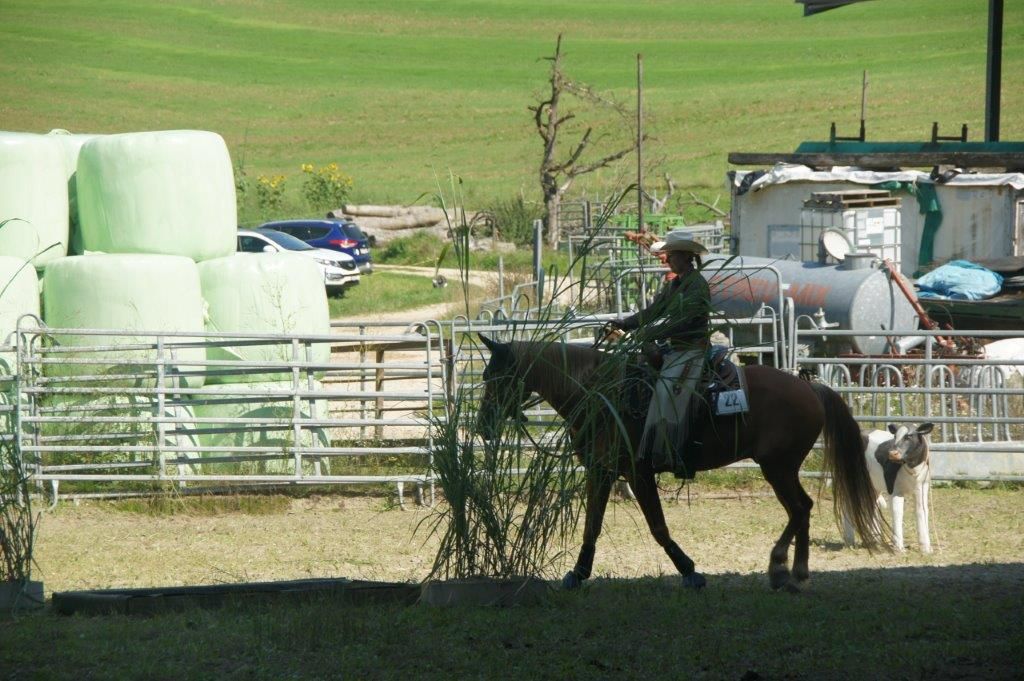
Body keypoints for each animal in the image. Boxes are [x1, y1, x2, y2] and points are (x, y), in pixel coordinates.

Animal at [475, 335, 888, 592]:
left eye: (497, 376)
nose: (482, 425)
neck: (601, 394)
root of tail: (809, 386)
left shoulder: (638, 473)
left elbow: (658, 527)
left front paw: (690, 571)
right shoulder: (602, 471)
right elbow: (592, 524)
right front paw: (578, 573)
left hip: (778, 467)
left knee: (800, 508)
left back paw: (780, 568)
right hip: (781, 468)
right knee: (802, 508)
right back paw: (796, 572)